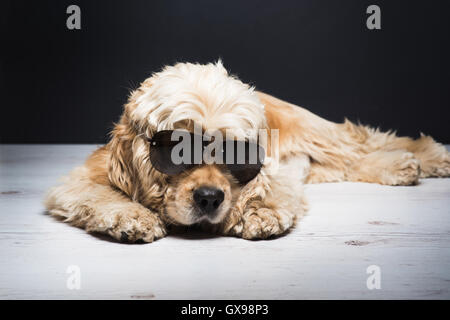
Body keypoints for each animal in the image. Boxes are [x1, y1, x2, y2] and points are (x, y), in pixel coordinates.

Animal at [44, 60, 450, 242]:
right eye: (176, 149)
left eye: (235, 153)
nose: (209, 198)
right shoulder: (82, 178)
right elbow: (101, 194)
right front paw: (131, 217)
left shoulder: (274, 168)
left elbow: (267, 190)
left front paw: (259, 212)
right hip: (319, 159)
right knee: (348, 164)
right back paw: (402, 167)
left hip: (313, 132)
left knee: (361, 140)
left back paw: (428, 156)